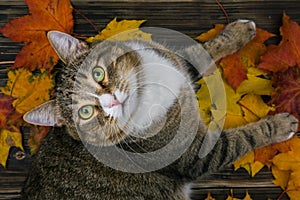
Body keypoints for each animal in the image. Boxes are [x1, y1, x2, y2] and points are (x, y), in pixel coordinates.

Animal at [21, 19, 298, 199]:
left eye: (98, 73)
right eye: (86, 112)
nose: (112, 101)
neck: (147, 93)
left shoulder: (176, 62)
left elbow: (199, 51)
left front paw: (239, 31)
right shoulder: (196, 154)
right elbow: (244, 138)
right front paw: (281, 124)